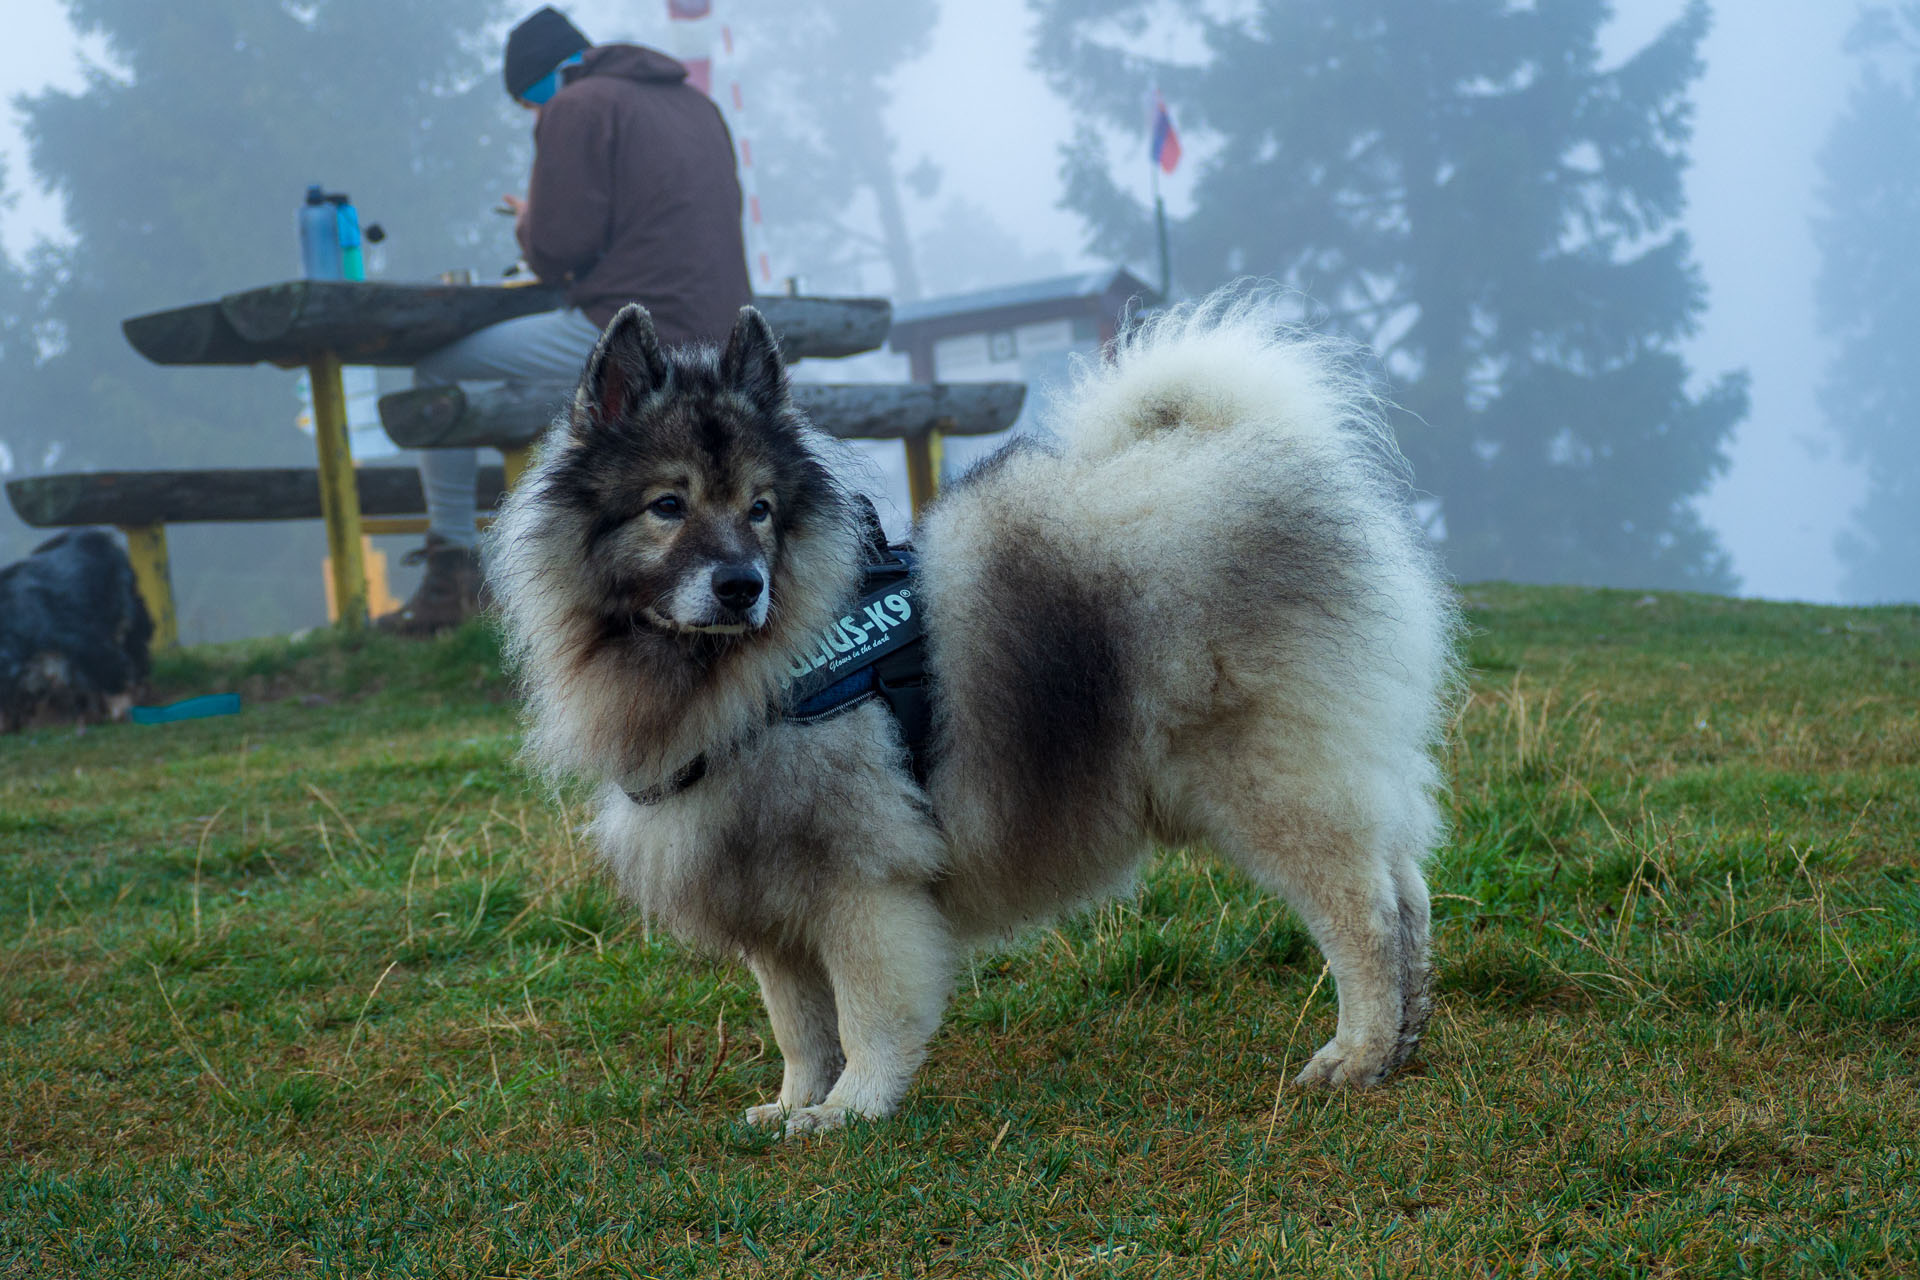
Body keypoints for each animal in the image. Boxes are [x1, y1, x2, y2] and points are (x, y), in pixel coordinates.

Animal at [0, 529, 151, 736]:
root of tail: (97, 534)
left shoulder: (81, 642)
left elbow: (109, 671)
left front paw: (119, 710)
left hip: (125, 610)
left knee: (135, 647)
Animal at [491, 297, 1451, 1128]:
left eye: (759, 511)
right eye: (668, 505)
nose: (740, 584)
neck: (744, 674)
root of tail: (1241, 448)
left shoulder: (860, 883)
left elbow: (864, 1014)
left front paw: (850, 1110)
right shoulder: (765, 894)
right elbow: (798, 1027)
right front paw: (793, 1105)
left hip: (1268, 779)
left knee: (1363, 915)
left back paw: (1357, 1053)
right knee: (1405, 893)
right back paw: (1403, 1040)